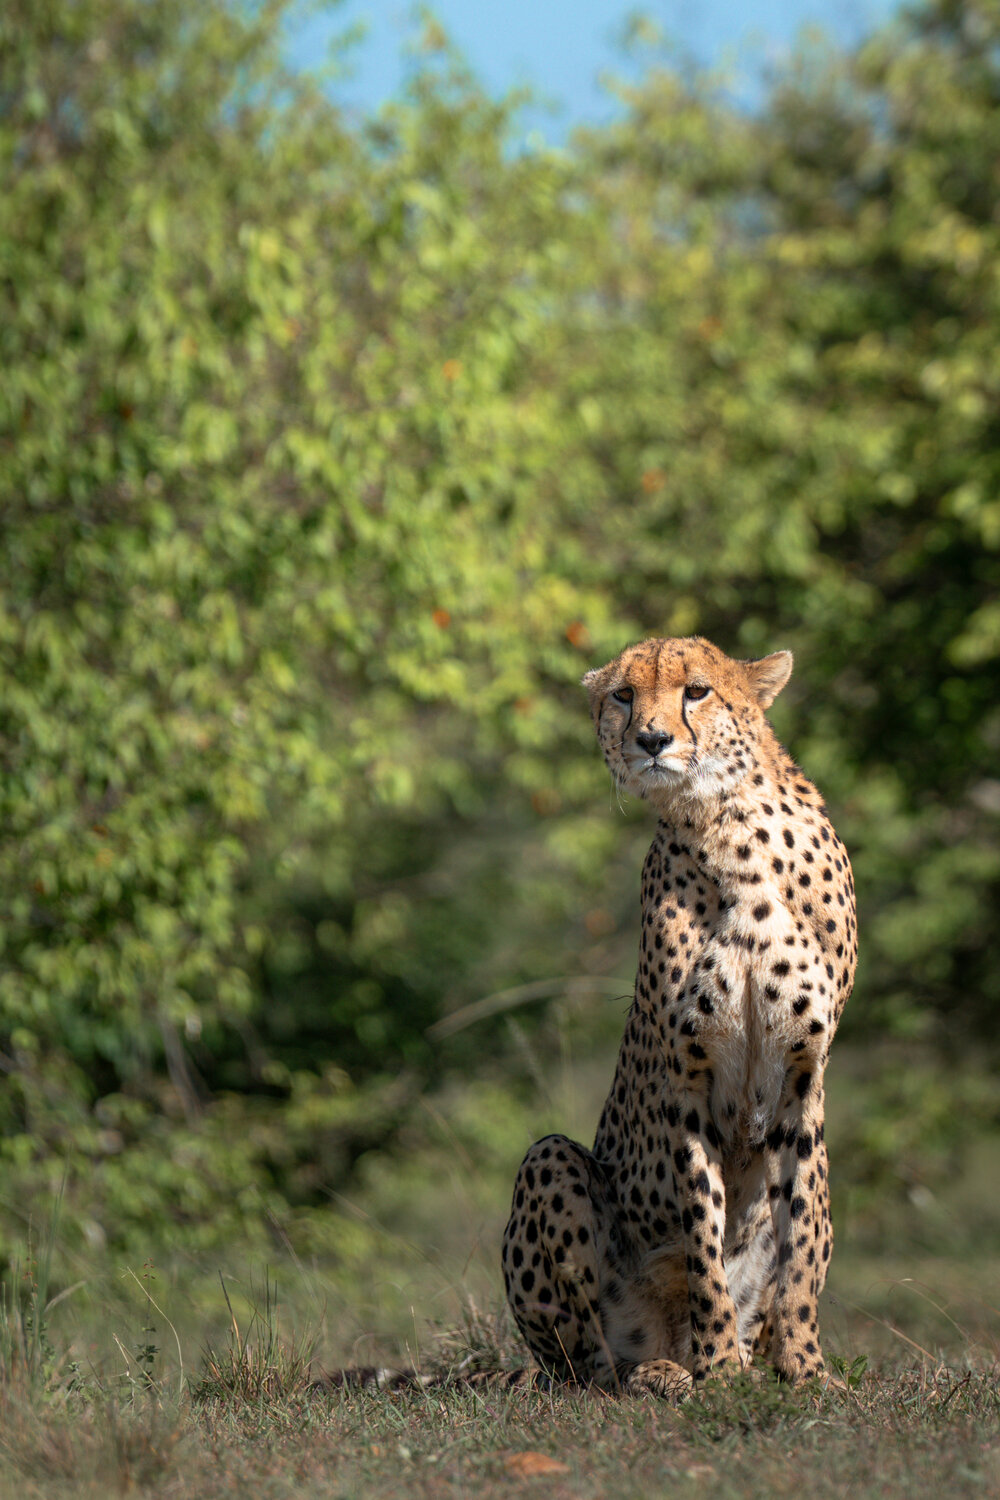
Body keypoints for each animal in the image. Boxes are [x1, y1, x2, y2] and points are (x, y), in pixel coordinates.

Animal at [502, 635, 857, 1396]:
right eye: (624, 696)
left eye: (696, 690)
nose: (651, 739)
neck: (731, 830)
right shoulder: (687, 1080)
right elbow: (703, 1240)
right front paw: (719, 1370)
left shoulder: (804, 1074)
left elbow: (802, 1246)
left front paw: (806, 1369)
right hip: (550, 1164)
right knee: (590, 1364)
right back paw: (662, 1370)